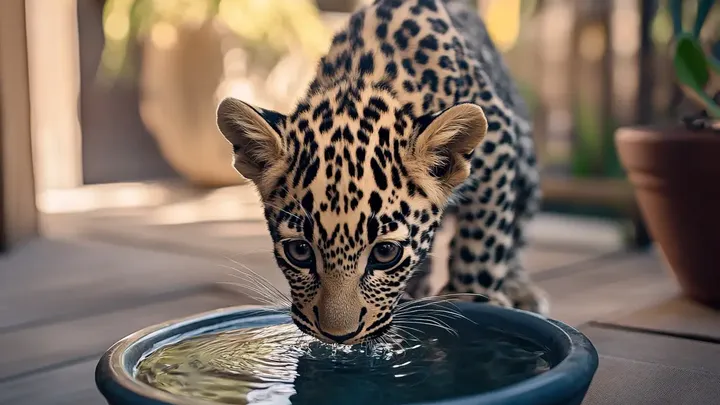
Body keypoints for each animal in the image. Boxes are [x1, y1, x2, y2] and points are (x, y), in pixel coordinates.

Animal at [216, 0, 549, 345]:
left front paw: (470, 298)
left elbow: (482, 244)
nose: (339, 336)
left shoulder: (498, 148)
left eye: (386, 253)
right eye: (299, 251)